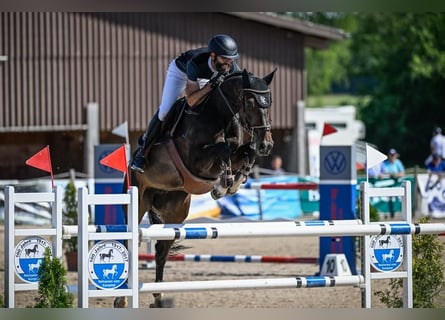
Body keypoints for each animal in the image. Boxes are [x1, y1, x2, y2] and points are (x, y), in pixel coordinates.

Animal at [115, 68, 274, 308]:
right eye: (250, 101)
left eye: (269, 102)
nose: (267, 144)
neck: (217, 115)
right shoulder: (196, 160)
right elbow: (224, 149)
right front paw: (223, 185)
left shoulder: (237, 149)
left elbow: (246, 151)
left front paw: (235, 181)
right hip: (138, 199)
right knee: (128, 241)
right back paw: (122, 299)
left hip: (175, 212)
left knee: (161, 251)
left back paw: (158, 297)